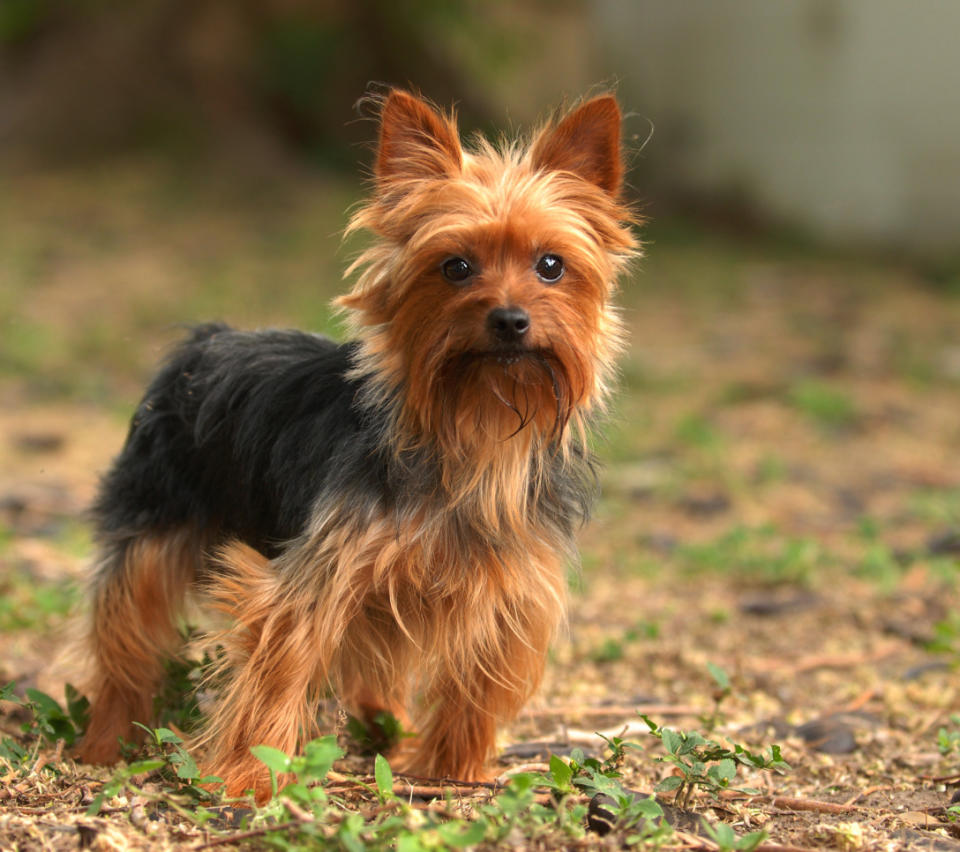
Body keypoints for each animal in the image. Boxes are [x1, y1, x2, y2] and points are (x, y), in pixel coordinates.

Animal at [79, 90, 640, 804]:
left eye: (551, 266)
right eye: (455, 267)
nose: (511, 319)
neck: (475, 427)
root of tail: (208, 339)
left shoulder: (510, 593)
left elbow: (477, 687)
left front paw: (454, 772)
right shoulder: (315, 579)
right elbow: (280, 671)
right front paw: (248, 777)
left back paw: (386, 734)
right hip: (151, 522)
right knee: (125, 633)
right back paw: (104, 742)